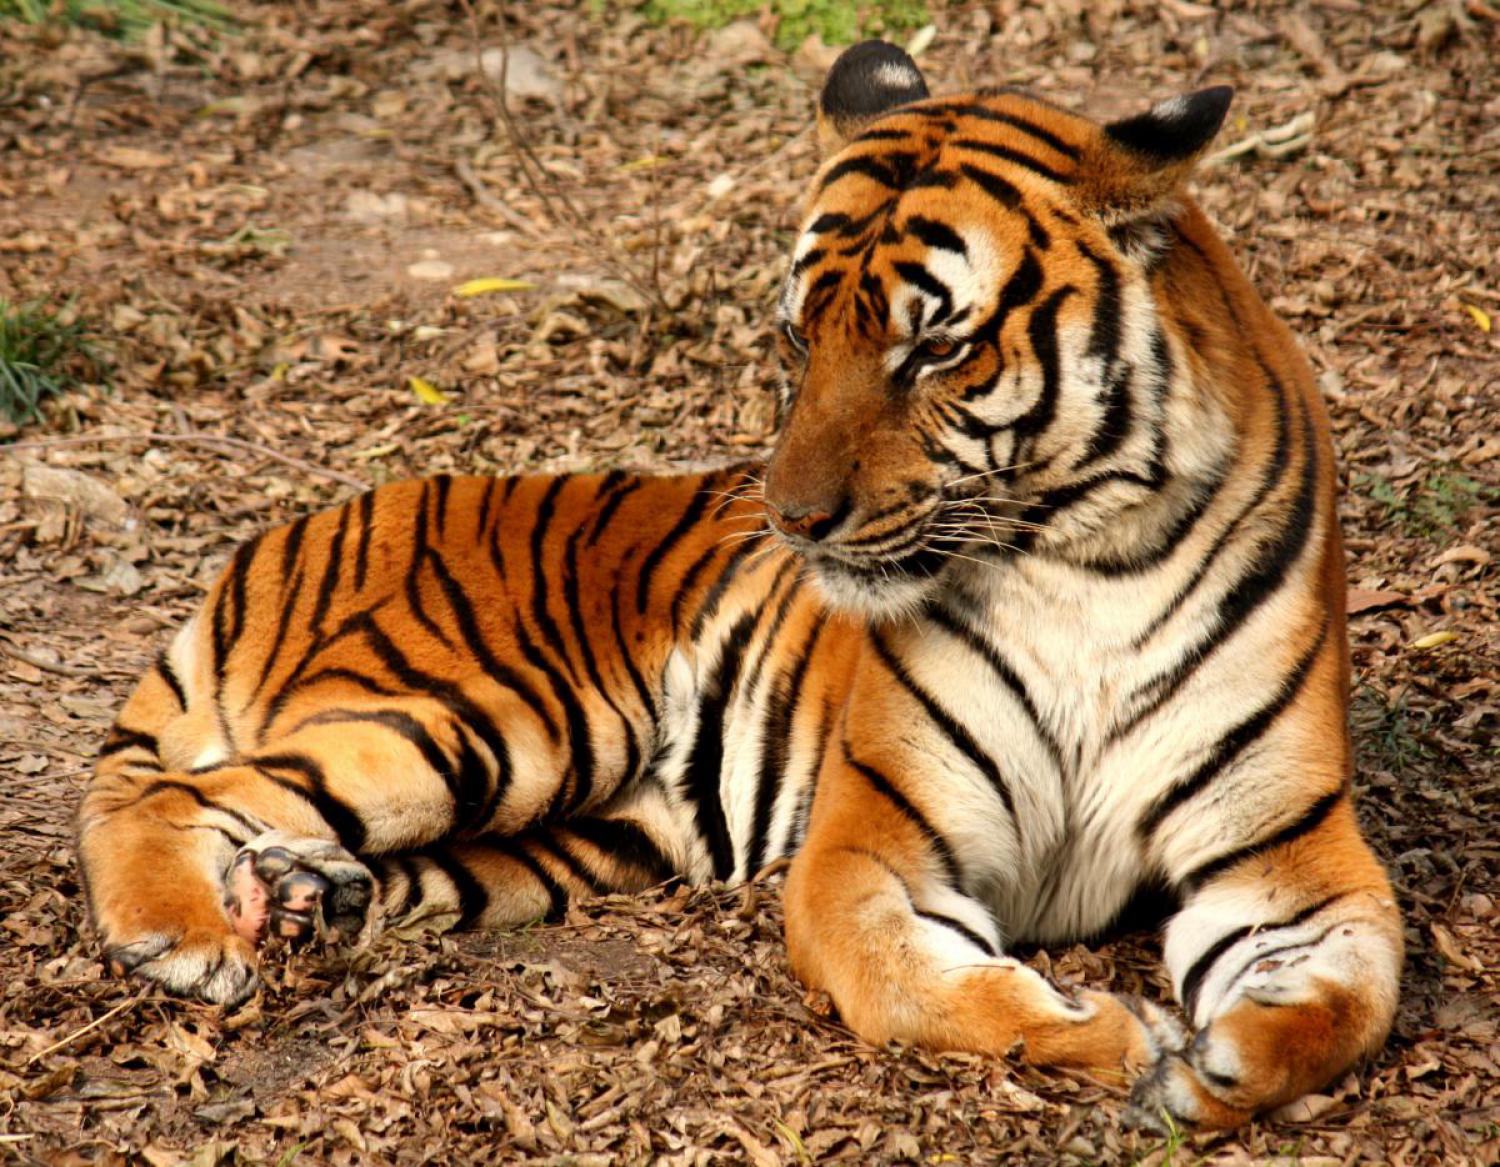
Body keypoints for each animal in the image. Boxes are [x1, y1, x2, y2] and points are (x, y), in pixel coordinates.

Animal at [76, 45, 1398, 1128]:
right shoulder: (872, 844)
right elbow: (917, 985)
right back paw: (183, 940)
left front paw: (1221, 1064)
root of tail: (288, 534)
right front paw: (1116, 1037)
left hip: (588, 834)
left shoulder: (1287, 856)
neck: (1083, 561)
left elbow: (1352, 998)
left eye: (936, 346)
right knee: (176, 794)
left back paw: (305, 900)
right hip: (495, 719)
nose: (795, 520)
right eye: (799, 337)